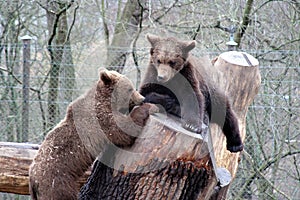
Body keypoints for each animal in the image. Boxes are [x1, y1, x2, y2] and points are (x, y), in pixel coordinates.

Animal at [29, 69, 158, 199]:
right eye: (130, 89)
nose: (142, 99)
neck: (107, 100)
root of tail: (32, 179)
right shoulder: (100, 119)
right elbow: (122, 130)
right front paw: (150, 107)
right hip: (57, 179)